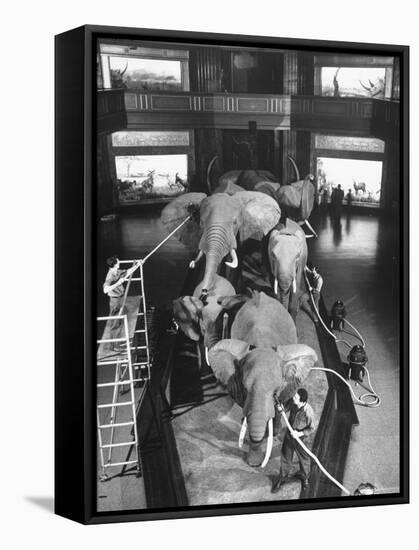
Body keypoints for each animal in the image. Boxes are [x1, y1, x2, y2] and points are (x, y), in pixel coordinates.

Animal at [208, 292, 316, 468]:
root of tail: (260, 294)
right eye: (245, 389)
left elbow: (279, 406)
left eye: (275, 393)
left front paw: (271, 434)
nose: (256, 465)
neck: (262, 344)